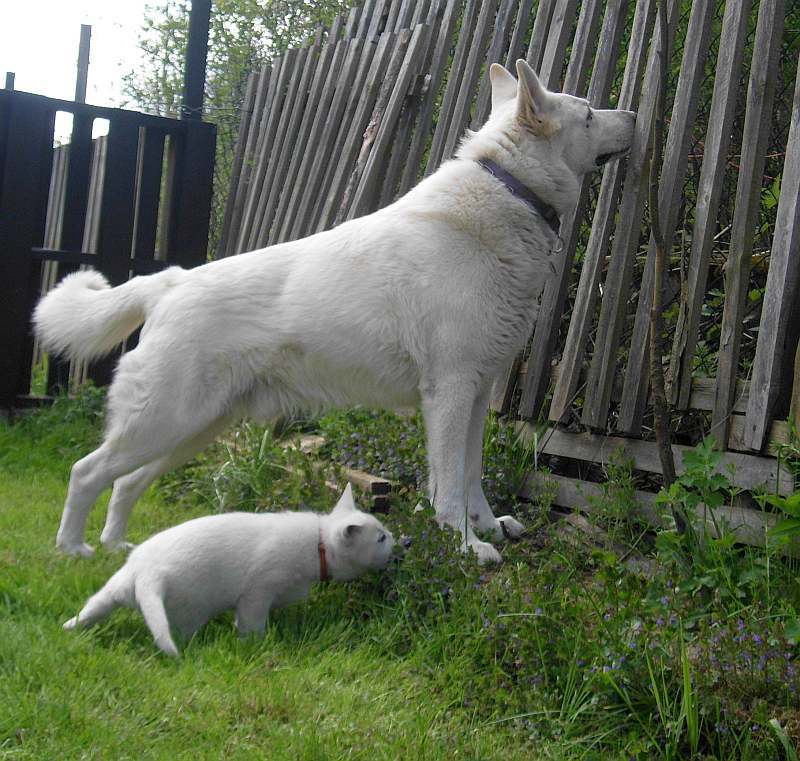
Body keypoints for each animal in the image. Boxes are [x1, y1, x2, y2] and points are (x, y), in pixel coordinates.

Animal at [34, 62, 636, 560]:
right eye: (588, 113)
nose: (633, 116)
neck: (510, 192)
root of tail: (169, 284)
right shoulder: (449, 393)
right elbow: (448, 485)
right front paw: (466, 547)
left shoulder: (476, 396)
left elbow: (472, 477)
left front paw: (488, 528)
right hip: (164, 422)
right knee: (86, 473)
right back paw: (72, 552)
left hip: (191, 429)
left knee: (125, 483)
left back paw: (117, 548)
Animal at [62, 486, 394, 652]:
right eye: (380, 538)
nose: (400, 539)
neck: (319, 542)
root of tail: (147, 574)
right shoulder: (257, 593)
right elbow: (252, 624)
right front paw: (256, 644)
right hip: (192, 609)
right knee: (179, 631)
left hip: (114, 588)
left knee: (94, 606)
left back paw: (71, 626)